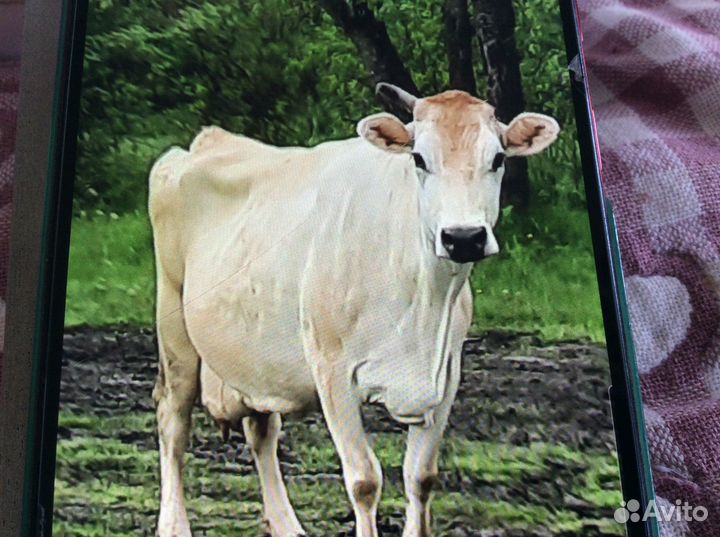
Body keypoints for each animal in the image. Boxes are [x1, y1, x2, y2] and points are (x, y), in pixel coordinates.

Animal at [149, 83, 559, 537]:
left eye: (498, 158)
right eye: (419, 158)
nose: (463, 237)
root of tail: (207, 140)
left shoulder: (446, 374)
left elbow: (422, 477)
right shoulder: (333, 372)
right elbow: (364, 481)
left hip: (256, 358)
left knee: (261, 430)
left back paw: (286, 524)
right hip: (174, 326)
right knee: (172, 420)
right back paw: (174, 525)